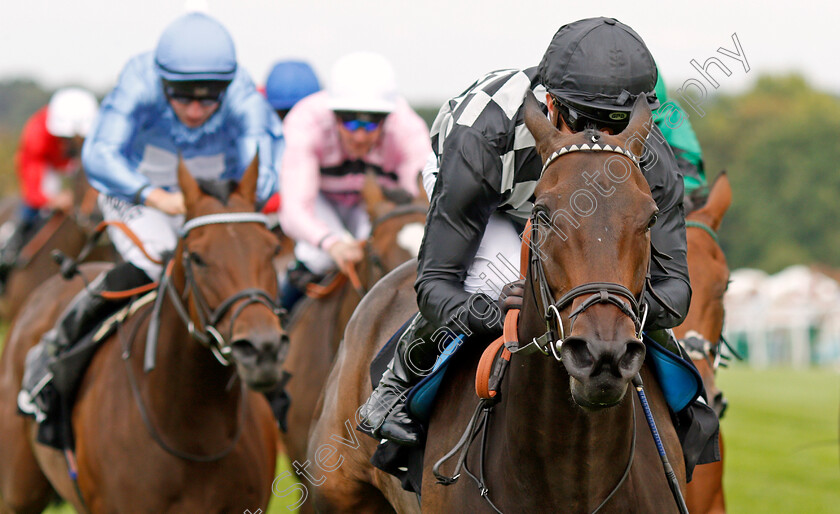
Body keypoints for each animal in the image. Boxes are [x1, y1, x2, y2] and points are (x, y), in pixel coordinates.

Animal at [310, 94, 688, 510]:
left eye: (651, 218)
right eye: (543, 213)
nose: (604, 354)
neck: (572, 473)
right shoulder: (468, 157)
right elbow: (437, 279)